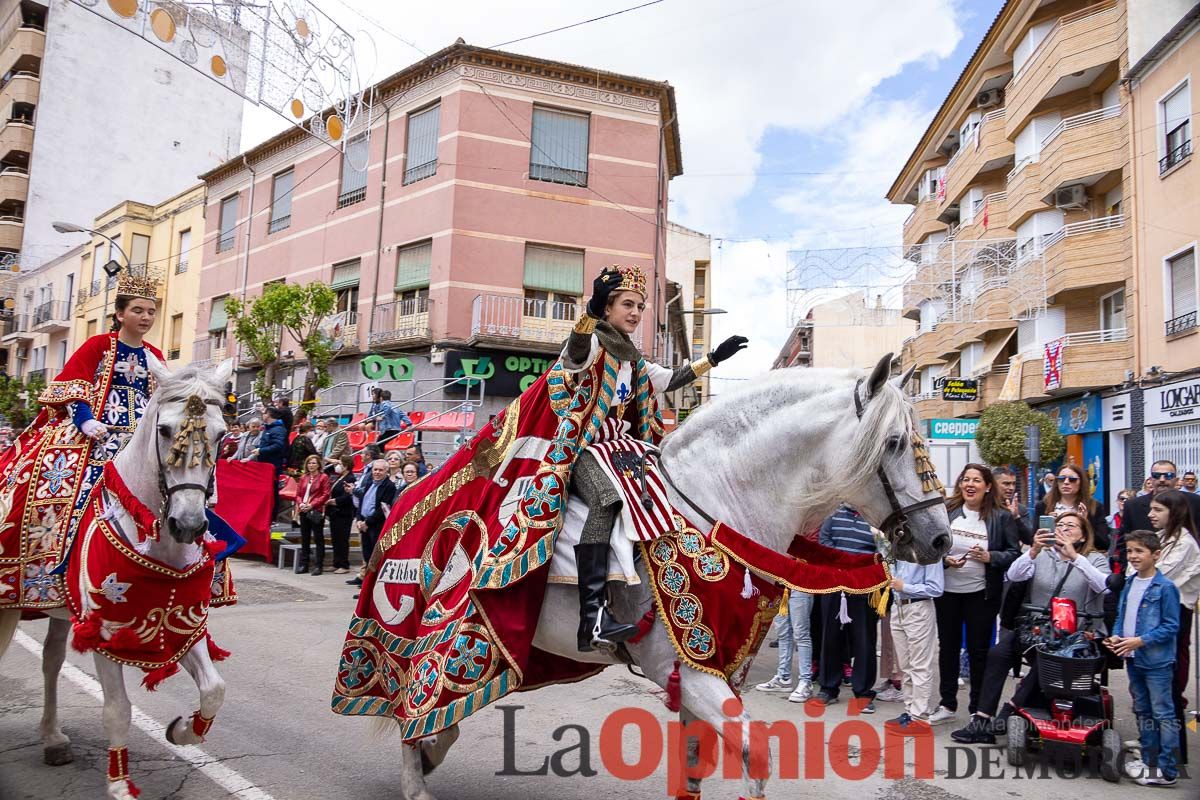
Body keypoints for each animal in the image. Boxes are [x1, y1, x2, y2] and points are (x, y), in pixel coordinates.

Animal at [0, 357, 232, 800]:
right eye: (165, 430)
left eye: (222, 434)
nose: (188, 525)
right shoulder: (106, 633)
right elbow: (118, 710)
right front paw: (121, 783)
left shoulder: (183, 625)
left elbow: (214, 690)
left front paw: (182, 731)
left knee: (51, 663)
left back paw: (53, 738)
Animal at [388, 357, 950, 800]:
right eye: (895, 442)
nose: (942, 539)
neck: (716, 507)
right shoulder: (686, 668)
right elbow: (757, 756)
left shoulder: (715, 671)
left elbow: (697, 767)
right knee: (409, 697)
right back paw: (417, 777)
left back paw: (433, 747)